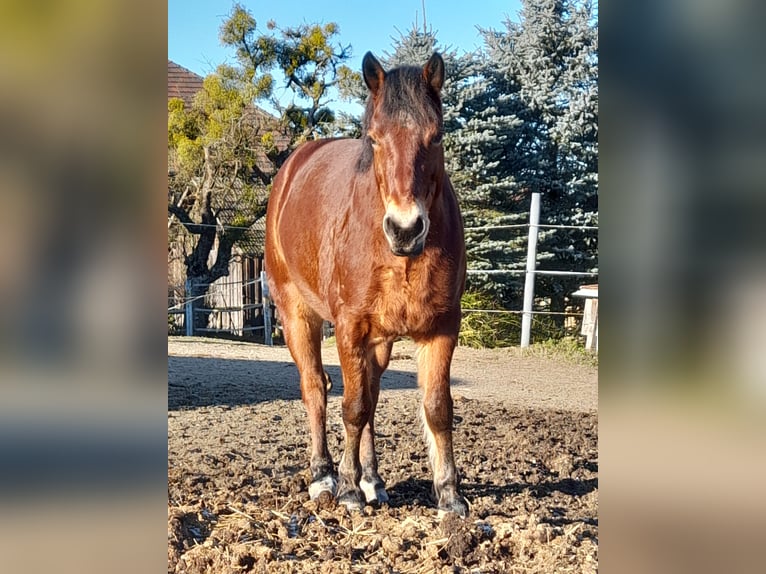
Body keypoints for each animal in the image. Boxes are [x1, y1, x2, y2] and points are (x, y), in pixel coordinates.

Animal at [264, 52, 468, 517]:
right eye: (373, 140)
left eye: (436, 136)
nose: (405, 229)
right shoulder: (349, 327)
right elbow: (353, 408)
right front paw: (346, 488)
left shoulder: (441, 328)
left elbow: (436, 408)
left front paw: (449, 495)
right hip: (296, 315)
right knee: (315, 388)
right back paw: (323, 477)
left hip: (381, 340)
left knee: (372, 394)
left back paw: (372, 479)